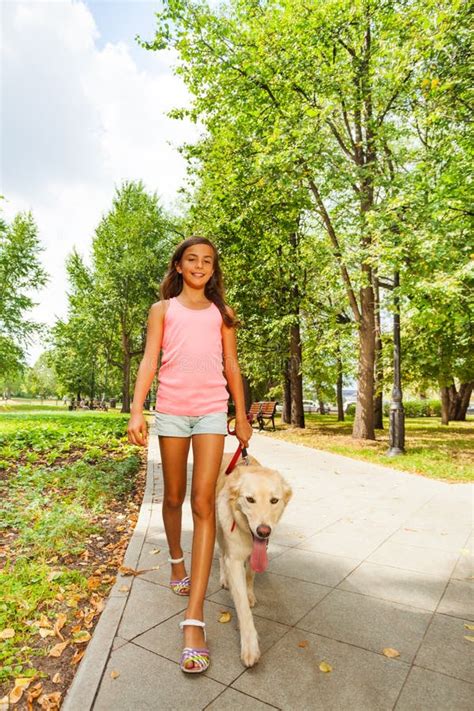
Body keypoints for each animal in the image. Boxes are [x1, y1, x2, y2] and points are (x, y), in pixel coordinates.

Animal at [216, 456, 290, 668]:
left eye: (274, 500)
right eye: (250, 499)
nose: (263, 531)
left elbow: (250, 574)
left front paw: (250, 594)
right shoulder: (234, 559)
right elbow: (242, 606)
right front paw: (250, 647)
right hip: (218, 530)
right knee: (221, 554)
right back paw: (224, 578)